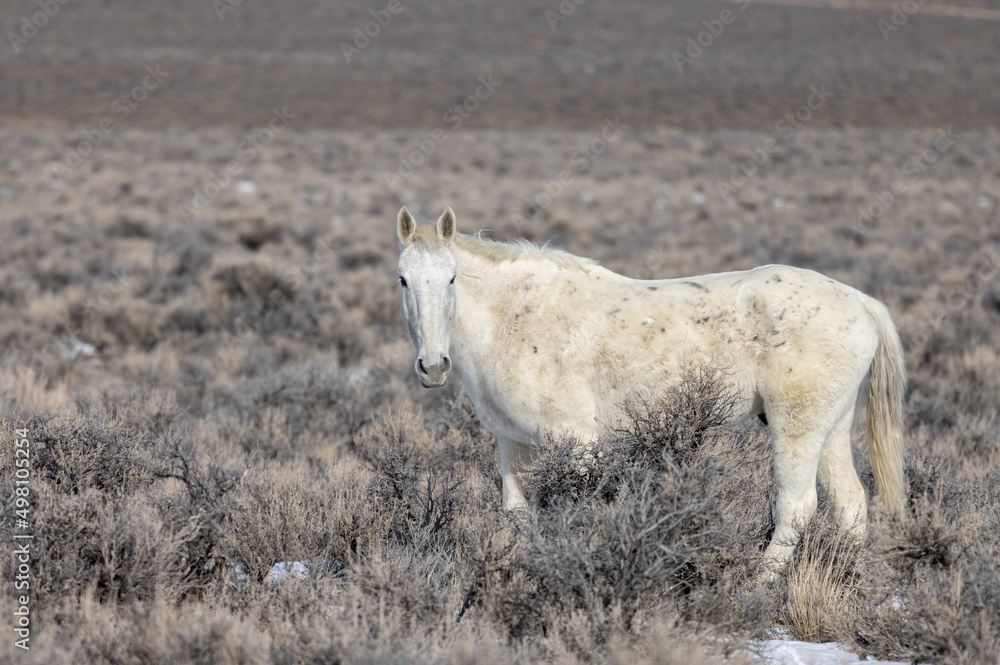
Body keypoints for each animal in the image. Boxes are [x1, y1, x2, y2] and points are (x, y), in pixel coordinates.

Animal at [395, 206, 905, 574]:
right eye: (403, 279)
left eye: (452, 278)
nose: (433, 366)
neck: (514, 317)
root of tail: (862, 302)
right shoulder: (513, 442)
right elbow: (518, 514)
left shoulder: (575, 441)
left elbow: (580, 507)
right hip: (832, 429)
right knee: (852, 503)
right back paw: (846, 579)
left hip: (796, 428)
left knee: (797, 507)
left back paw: (759, 585)